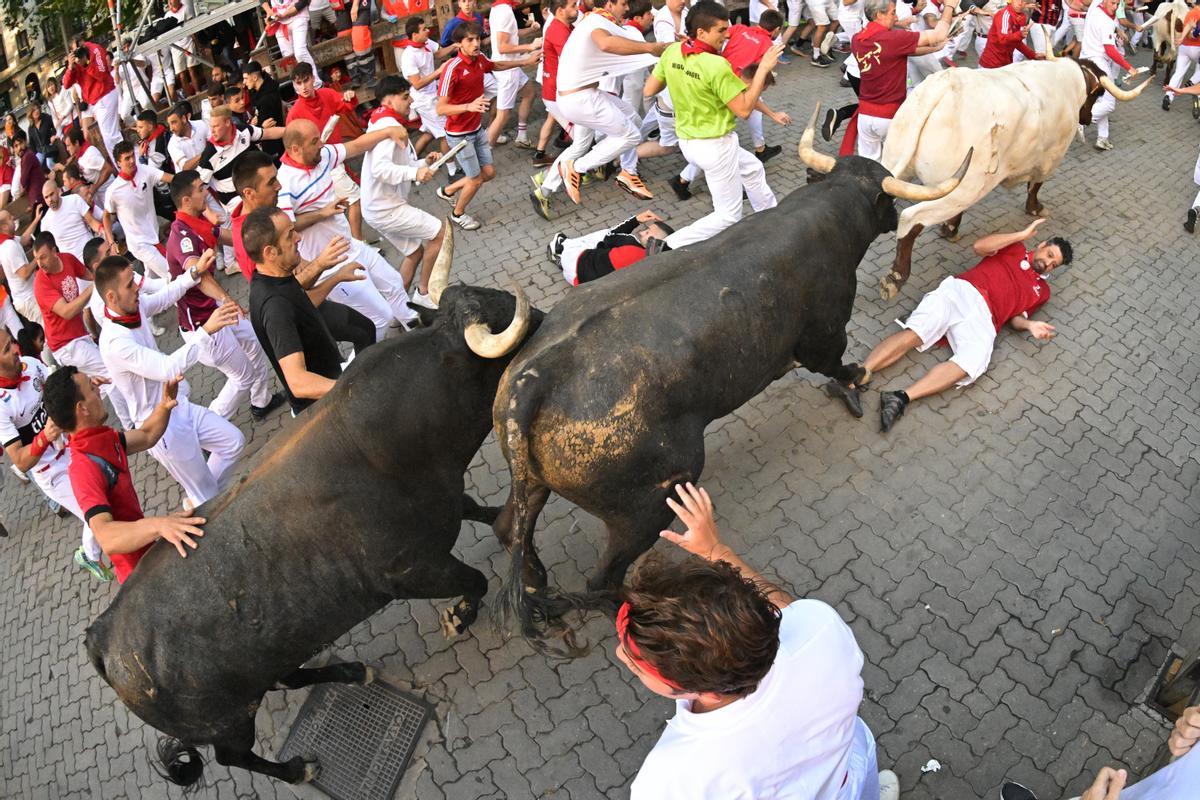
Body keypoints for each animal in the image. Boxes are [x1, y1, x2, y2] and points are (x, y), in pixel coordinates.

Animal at [87, 283, 547, 786]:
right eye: (507, 320)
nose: (549, 320)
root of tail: (103, 635)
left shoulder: (445, 504)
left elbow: (479, 511)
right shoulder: (413, 571)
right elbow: (475, 581)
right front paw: (460, 616)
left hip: (271, 655)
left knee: (287, 676)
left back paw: (351, 672)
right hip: (227, 720)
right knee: (234, 755)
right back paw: (296, 768)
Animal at [492, 123, 969, 638]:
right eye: (886, 199)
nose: (893, 218)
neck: (823, 216)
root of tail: (535, 377)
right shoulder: (825, 334)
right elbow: (837, 364)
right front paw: (856, 378)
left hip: (533, 483)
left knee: (509, 528)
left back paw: (537, 579)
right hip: (649, 505)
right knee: (601, 581)